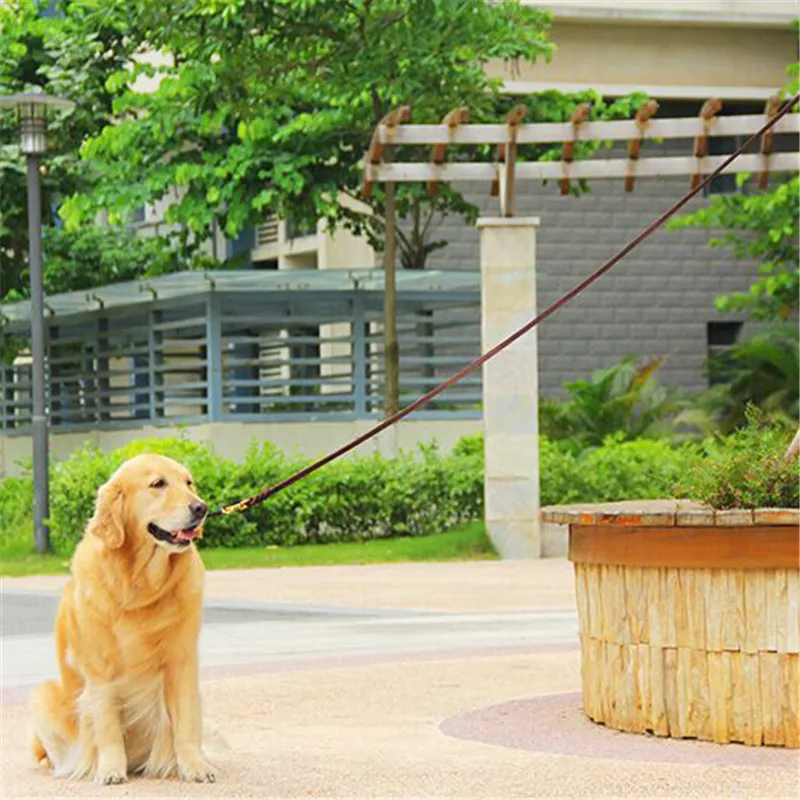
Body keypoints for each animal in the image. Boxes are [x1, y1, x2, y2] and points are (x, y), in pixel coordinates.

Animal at [31, 454, 216, 784]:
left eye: (189, 482)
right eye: (158, 483)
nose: (201, 508)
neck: (139, 583)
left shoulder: (182, 660)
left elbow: (186, 721)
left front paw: (194, 765)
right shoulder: (101, 669)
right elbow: (107, 725)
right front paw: (110, 769)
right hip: (44, 695)